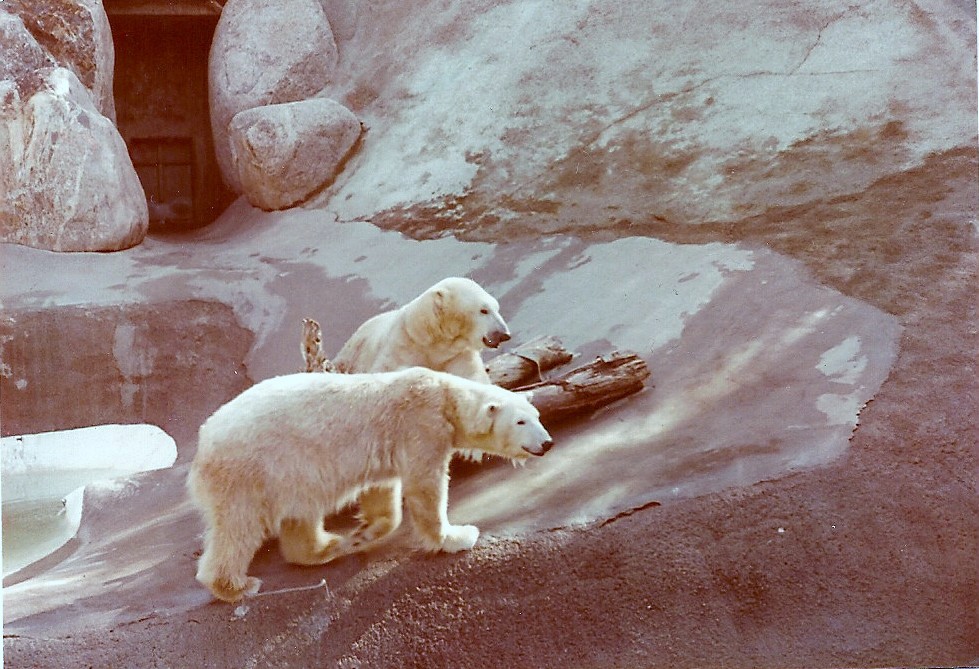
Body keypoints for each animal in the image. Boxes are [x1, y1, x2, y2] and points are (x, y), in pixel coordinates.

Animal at [187, 366, 552, 603]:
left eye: (537, 416)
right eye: (521, 421)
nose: (546, 443)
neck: (444, 395)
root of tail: (202, 443)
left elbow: (383, 491)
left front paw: (366, 531)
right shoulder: (420, 424)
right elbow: (425, 485)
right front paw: (457, 537)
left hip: (292, 475)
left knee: (300, 516)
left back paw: (328, 546)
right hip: (251, 471)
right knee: (240, 526)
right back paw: (237, 586)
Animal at [332, 277, 510, 384]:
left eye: (497, 307)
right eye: (484, 310)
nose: (504, 335)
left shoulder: (456, 355)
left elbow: (471, 376)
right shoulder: (401, 346)